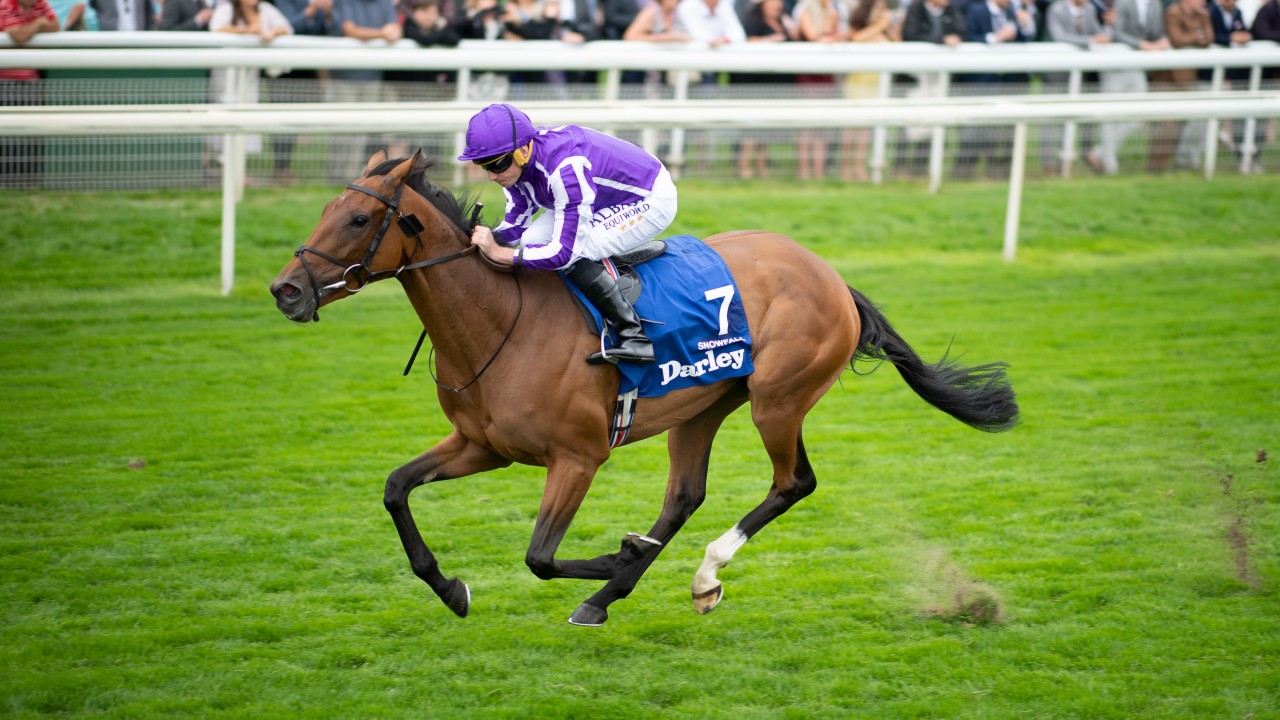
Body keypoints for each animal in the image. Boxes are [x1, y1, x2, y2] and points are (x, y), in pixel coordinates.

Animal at [269, 150, 1019, 627]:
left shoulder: (578, 457)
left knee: (792, 483)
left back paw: (699, 574)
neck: (500, 321)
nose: (286, 290)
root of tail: (831, 275)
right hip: (703, 406)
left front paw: (618, 556)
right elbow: (396, 488)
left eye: (358, 220)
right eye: (327, 209)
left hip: (778, 400)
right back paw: (616, 592)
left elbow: (540, 557)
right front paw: (453, 589)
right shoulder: (482, 445)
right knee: (685, 496)